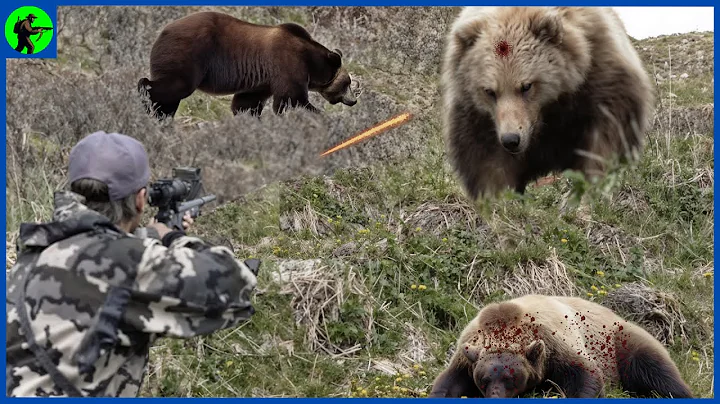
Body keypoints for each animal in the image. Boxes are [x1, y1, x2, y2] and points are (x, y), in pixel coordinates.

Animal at [137, 11, 357, 121]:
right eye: (347, 83)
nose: (354, 100)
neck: (310, 62)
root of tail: (164, 30)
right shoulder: (288, 64)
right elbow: (292, 99)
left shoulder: (262, 81)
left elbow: (246, 103)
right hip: (188, 52)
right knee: (174, 85)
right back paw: (147, 100)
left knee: (170, 96)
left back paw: (162, 116)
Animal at [428, 294, 693, 398]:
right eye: (483, 379)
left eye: (510, 378)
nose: (496, 396)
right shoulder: (466, 354)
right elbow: (449, 382)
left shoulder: (557, 344)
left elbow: (585, 375)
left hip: (621, 342)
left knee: (654, 368)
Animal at [439, 7, 655, 200]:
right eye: (490, 91)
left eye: (526, 86)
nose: (511, 140)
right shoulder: (478, 116)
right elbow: (485, 161)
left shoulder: (601, 79)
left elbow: (604, 139)